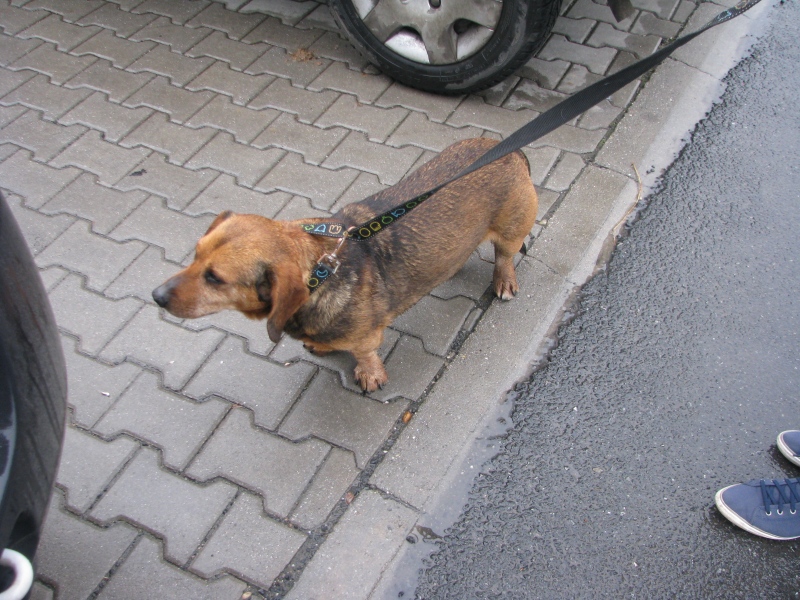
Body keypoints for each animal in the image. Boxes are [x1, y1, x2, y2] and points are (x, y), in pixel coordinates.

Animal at [152, 138, 538, 392]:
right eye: (195, 254)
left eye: (215, 278)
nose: (156, 296)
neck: (321, 272)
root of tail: (509, 148)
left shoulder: (367, 336)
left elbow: (364, 353)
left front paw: (369, 373)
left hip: (510, 231)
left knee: (505, 256)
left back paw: (504, 280)